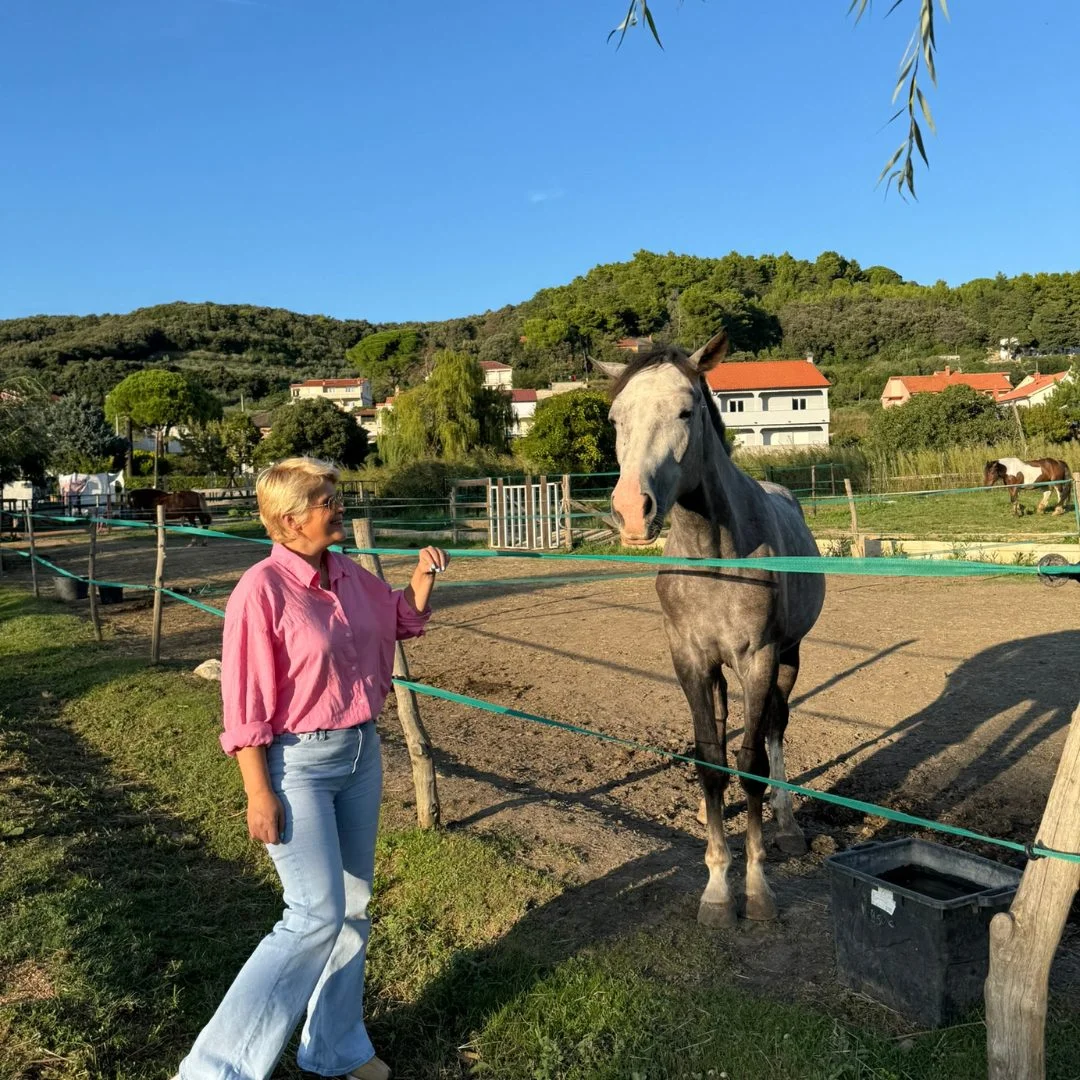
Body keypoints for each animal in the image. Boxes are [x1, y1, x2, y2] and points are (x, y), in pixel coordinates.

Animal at [601, 331, 825, 928]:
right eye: (615, 418)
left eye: (685, 411)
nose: (632, 511)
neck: (713, 553)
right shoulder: (690, 660)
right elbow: (710, 762)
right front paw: (718, 888)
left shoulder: (759, 657)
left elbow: (750, 765)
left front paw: (757, 888)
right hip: (721, 671)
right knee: (728, 730)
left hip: (789, 656)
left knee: (775, 729)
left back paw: (788, 827)